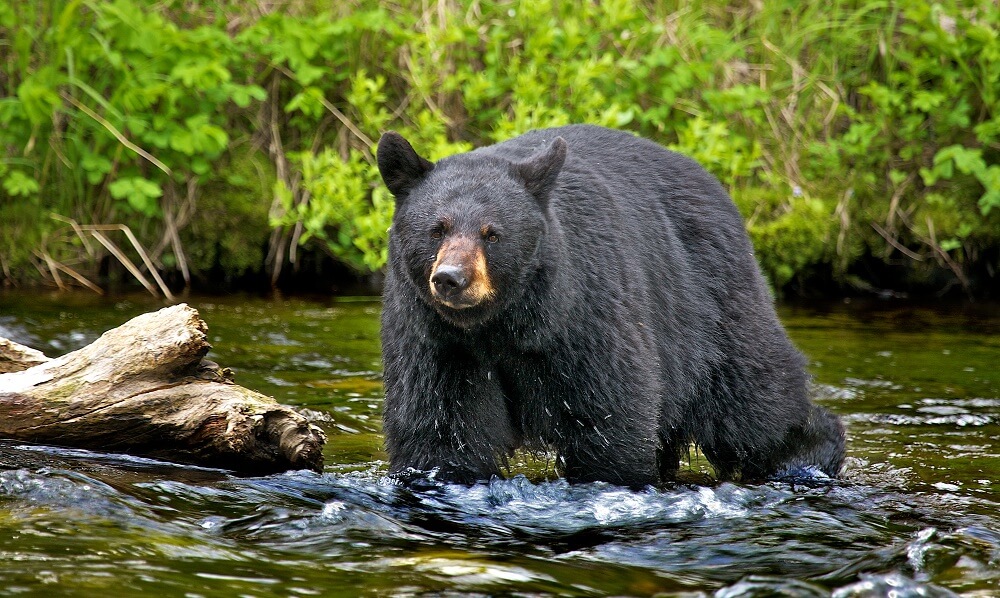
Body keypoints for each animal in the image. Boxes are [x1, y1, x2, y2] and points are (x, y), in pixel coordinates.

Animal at [376, 124, 845, 489]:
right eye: (437, 229)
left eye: (492, 233)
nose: (451, 278)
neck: (503, 325)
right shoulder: (437, 342)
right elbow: (440, 430)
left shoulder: (584, 317)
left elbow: (608, 417)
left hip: (712, 307)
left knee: (754, 402)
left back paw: (807, 455)